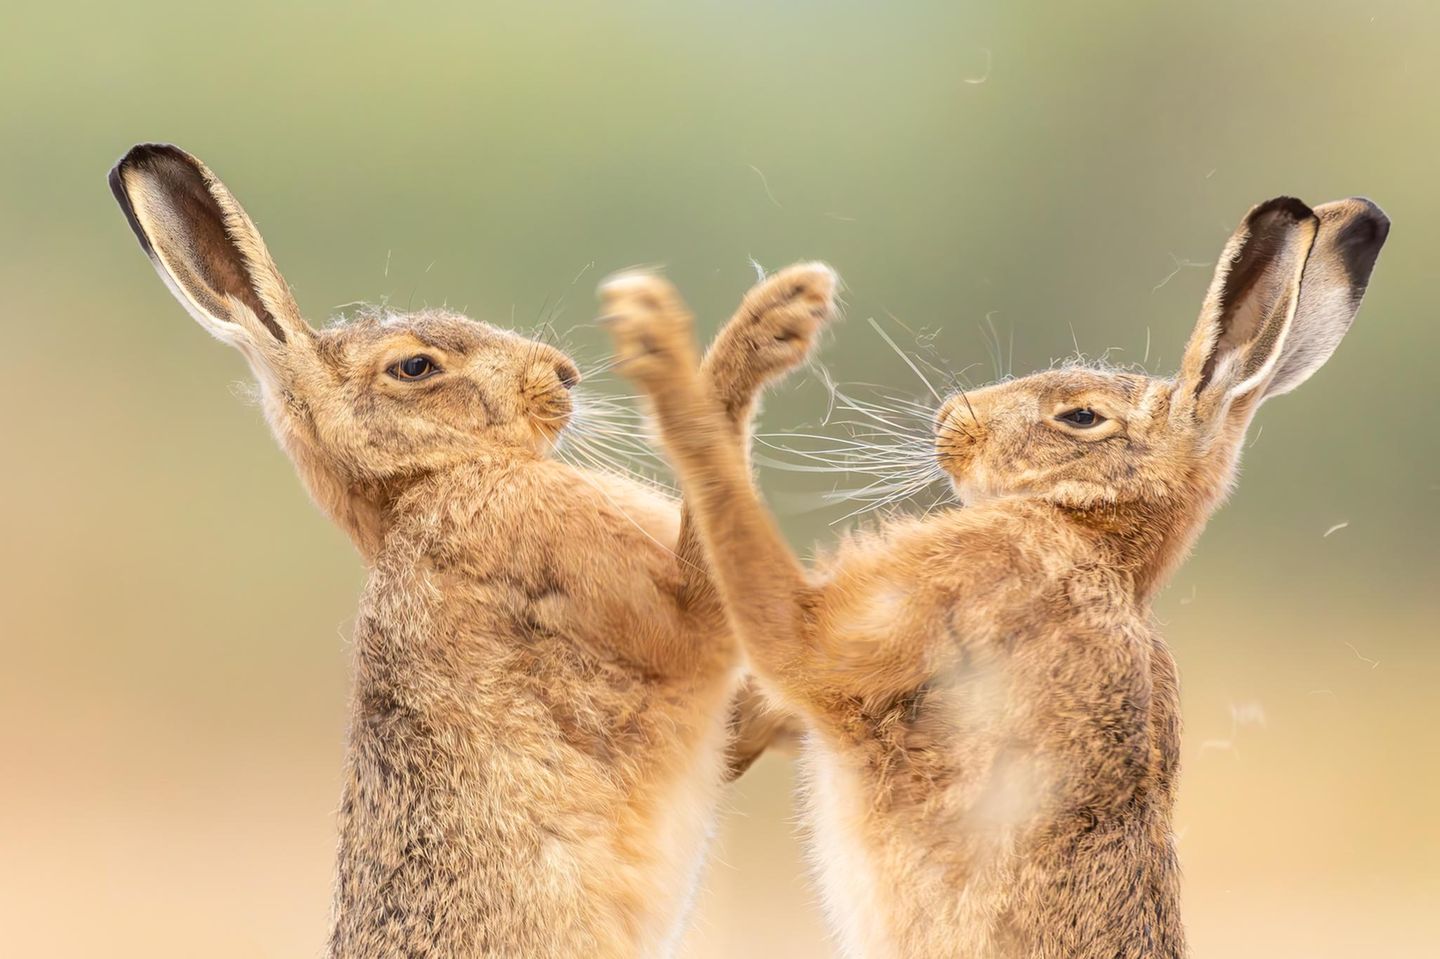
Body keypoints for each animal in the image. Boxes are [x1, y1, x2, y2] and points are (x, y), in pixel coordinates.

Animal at [601, 195, 1389, 959]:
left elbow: (743, 537)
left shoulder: (915, 601)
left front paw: (672, 342)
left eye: (1081, 416)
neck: (1092, 532)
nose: (950, 419)